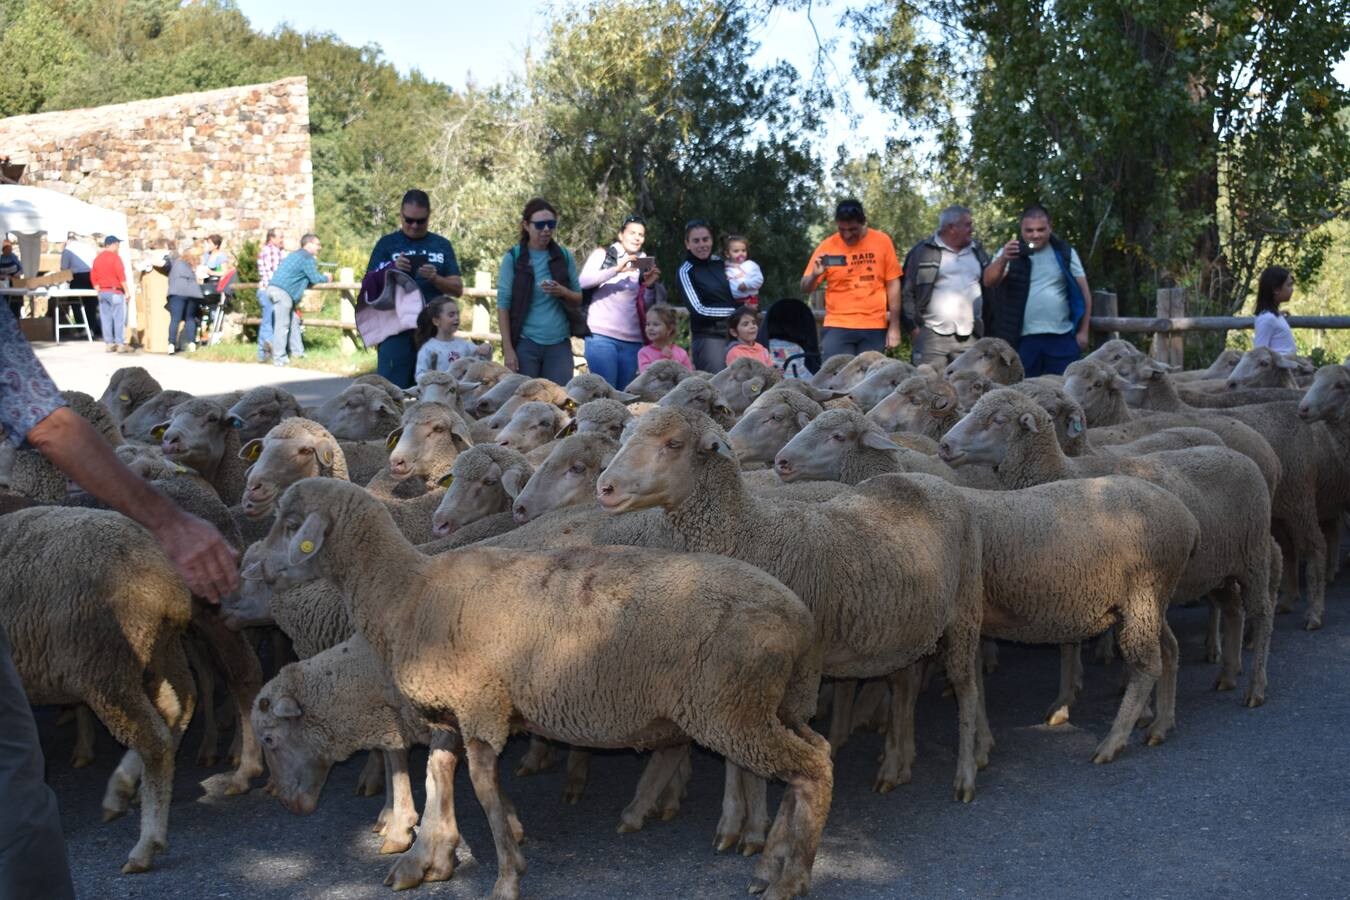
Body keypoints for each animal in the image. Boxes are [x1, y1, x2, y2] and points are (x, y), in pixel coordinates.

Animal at [0, 507, 195, 874]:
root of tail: (167, 584)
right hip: (161, 653)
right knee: (179, 710)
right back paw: (125, 788)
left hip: (105, 666)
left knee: (155, 739)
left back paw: (145, 845)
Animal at [247, 477, 826, 900]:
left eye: (291, 524)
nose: (258, 568)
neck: (408, 592)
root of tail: (800, 618)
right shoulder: (449, 714)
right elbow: (439, 777)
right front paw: (431, 857)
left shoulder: (482, 710)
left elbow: (482, 790)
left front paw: (506, 876)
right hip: (777, 704)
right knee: (809, 758)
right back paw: (770, 864)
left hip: (730, 709)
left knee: (812, 770)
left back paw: (790, 877)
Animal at [602, 410, 993, 804]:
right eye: (625, 436)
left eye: (674, 444)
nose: (605, 487)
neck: (751, 532)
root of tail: (928, 479)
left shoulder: (792, 670)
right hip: (904, 627)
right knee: (904, 686)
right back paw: (896, 766)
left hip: (965, 608)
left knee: (966, 686)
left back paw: (967, 772)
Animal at [939, 388, 1274, 712]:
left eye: (997, 420)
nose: (944, 445)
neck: (1064, 470)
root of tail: (1235, 453)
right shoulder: (1066, 577)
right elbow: (1069, 643)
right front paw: (1067, 696)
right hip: (1217, 566)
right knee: (1232, 608)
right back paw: (1228, 673)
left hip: (1254, 555)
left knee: (1262, 612)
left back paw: (1255, 686)